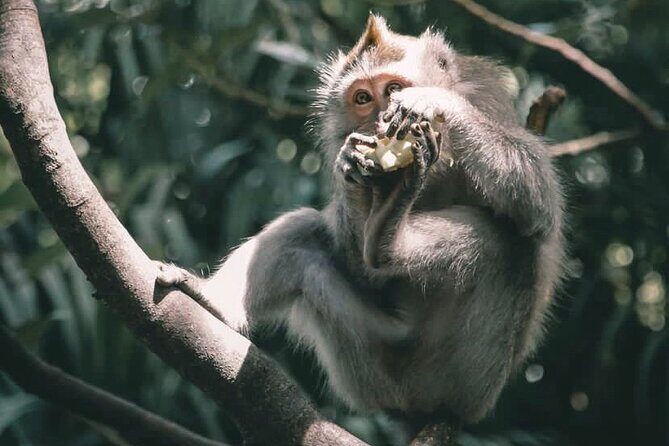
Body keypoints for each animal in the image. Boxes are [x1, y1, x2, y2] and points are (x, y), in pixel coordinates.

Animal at [156, 14, 565, 440]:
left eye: (395, 90)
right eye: (363, 98)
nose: (380, 120)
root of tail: (414, 405)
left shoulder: (487, 99)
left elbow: (538, 201)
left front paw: (436, 103)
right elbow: (358, 264)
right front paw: (353, 170)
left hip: (467, 377)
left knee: (512, 243)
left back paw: (390, 240)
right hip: (372, 364)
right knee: (302, 235)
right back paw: (214, 301)